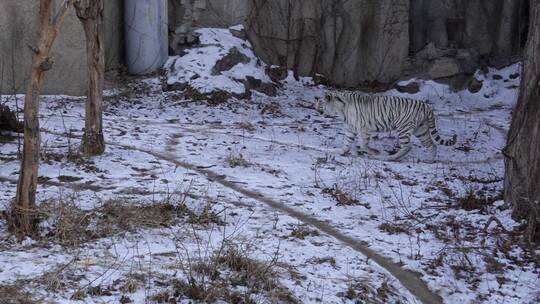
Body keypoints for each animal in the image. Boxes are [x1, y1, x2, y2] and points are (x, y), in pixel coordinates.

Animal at [318, 90, 458, 162]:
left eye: (319, 102)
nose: (316, 108)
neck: (340, 109)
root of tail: (427, 106)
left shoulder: (363, 128)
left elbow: (363, 144)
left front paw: (374, 152)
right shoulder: (350, 129)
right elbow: (346, 144)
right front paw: (339, 151)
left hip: (403, 128)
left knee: (407, 146)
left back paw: (388, 157)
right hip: (421, 130)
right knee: (432, 145)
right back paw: (429, 160)